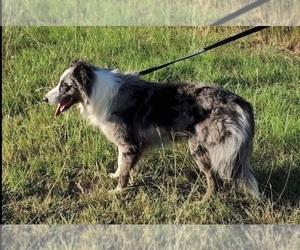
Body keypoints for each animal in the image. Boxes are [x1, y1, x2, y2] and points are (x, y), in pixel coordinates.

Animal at [43, 59, 258, 203]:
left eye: (65, 86)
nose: (44, 99)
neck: (97, 91)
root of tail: (240, 102)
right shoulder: (130, 145)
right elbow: (122, 164)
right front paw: (117, 175)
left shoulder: (129, 144)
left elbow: (125, 170)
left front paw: (118, 191)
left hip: (200, 149)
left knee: (214, 179)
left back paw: (203, 201)